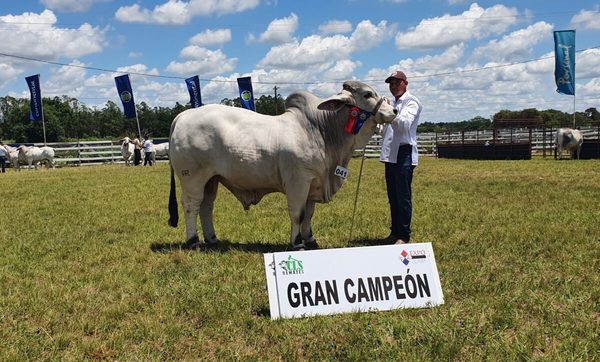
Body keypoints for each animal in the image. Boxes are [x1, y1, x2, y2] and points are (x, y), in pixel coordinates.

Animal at [166, 81, 396, 252]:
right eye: (367, 94)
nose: (393, 110)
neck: (320, 130)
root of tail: (183, 115)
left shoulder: (313, 183)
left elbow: (309, 214)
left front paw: (310, 239)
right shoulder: (298, 181)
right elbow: (298, 213)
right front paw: (297, 243)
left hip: (211, 179)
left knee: (206, 206)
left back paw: (212, 239)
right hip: (192, 178)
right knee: (191, 206)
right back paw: (193, 241)